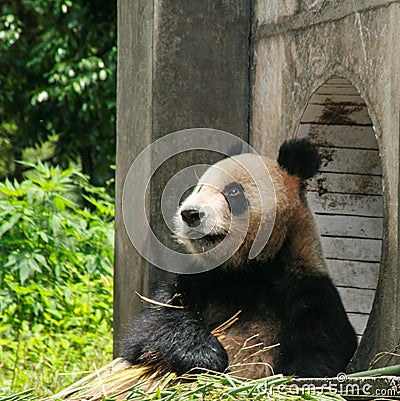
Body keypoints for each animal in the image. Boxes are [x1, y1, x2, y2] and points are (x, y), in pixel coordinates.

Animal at [122, 138, 356, 378]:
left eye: (233, 191)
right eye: (200, 188)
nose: (190, 214)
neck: (250, 268)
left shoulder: (308, 289)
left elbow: (317, 358)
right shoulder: (200, 281)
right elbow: (152, 325)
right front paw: (203, 354)